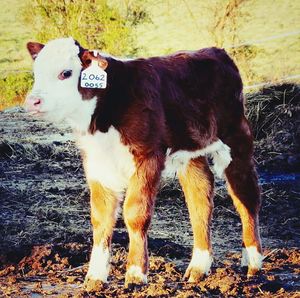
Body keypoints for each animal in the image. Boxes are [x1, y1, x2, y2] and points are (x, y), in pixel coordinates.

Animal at [25, 37, 262, 292]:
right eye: (36, 72)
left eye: (66, 73)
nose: (32, 101)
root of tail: (215, 51)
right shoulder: (97, 162)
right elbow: (101, 217)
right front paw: (95, 277)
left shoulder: (148, 157)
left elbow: (135, 213)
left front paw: (136, 274)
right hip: (190, 151)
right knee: (200, 197)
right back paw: (198, 267)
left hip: (236, 137)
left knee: (246, 195)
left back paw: (253, 262)